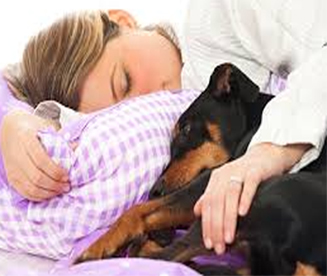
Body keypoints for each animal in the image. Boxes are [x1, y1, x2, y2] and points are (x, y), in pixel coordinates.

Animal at [75, 63, 326, 274]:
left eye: (186, 129)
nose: (154, 189)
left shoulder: (212, 182)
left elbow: (138, 211)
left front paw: (98, 246)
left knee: (157, 258)